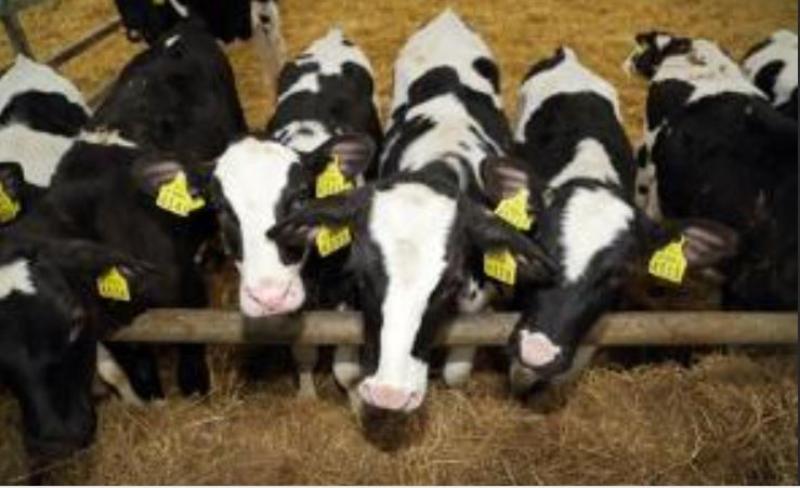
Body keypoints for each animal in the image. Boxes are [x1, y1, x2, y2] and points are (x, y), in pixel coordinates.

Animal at [207, 28, 381, 397]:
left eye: (300, 198)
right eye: (221, 208)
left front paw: (356, 398)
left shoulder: (348, 287)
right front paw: (306, 393)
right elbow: (304, 349)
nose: (268, 294)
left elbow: (346, 365)